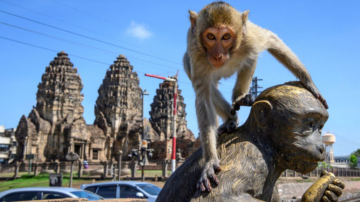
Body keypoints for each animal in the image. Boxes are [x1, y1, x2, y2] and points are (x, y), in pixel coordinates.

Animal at [184, 1, 328, 192]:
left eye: (226, 37)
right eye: (210, 36)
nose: (217, 55)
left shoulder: (250, 39)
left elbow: (271, 39)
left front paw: (309, 82)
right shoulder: (197, 53)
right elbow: (203, 96)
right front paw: (210, 162)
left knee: (251, 58)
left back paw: (240, 97)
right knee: (197, 76)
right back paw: (231, 119)